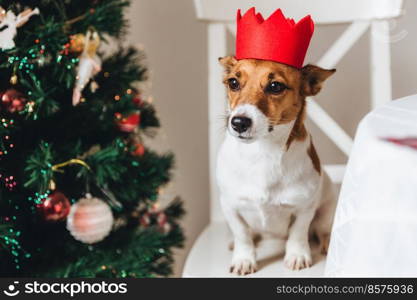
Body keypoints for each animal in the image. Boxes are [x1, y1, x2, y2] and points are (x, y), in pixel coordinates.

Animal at [216, 55, 336, 274]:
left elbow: (298, 233)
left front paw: (297, 256)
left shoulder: (305, 207)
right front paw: (244, 259)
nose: (239, 122)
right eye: (233, 82)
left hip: (328, 207)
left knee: (322, 229)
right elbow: (242, 235)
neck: (261, 152)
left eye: (275, 86)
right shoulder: (230, 206)